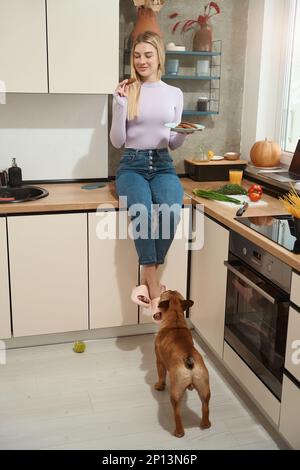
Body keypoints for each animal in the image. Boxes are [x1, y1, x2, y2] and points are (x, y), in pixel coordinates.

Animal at [155, 290, 211, 436]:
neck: (175, 318)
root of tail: (188, 357)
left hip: (176, 393)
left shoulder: (159, 361)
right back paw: (205, 424)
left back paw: (179, 432)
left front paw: (159, 386)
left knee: (177, 413)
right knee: (205, 407)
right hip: (204, 388)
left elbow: (161, 376)